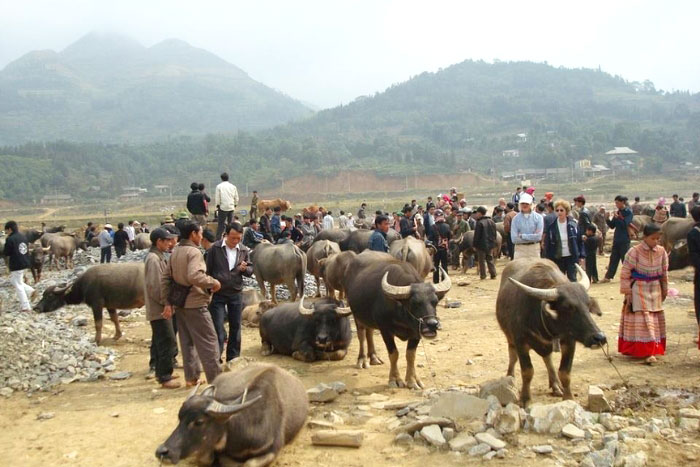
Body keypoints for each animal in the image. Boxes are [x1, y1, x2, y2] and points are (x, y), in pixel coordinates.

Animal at [157, 364, 308, 466]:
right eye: (179, 417)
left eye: (199, 422)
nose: (161, 452)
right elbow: (208, 459)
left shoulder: (273, 450)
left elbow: (248, 464)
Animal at [346, 252, 454, 392]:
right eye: (414, 303)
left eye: (435, 301)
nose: (432, 325)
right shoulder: (385, 330)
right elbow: (394, 354)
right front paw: (395, 379)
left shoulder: (416, 333)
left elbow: (410, 355)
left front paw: (413, 380)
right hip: (356, 315)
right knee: (361, 335)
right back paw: (362, 360)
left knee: (369, 332)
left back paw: (374, 357)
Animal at [494, 258, 604, 408]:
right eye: (568, 307)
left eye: (587, 305)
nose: (599, 338)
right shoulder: (520, 342)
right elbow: (527, 371)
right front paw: (525, 399)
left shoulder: (570, 342)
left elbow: (565, 373)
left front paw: (568, 397)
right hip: (509, 337)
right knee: (513, 355)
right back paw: (510, 377)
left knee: (548, 359)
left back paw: (556, 385)